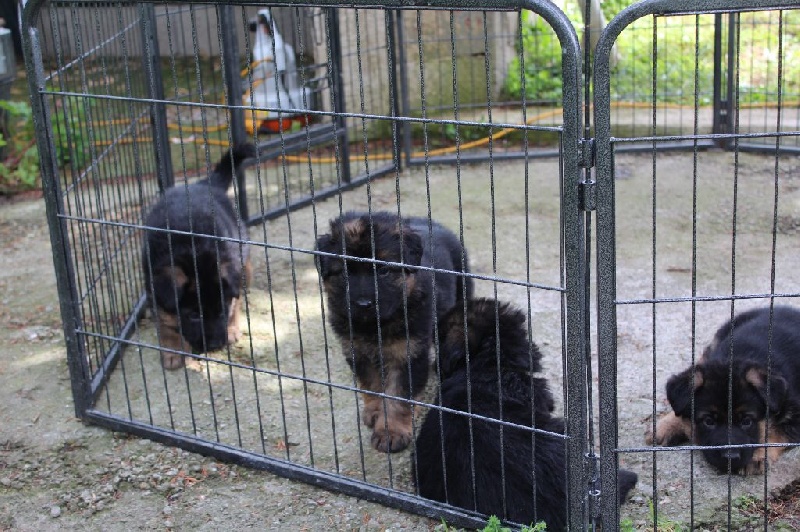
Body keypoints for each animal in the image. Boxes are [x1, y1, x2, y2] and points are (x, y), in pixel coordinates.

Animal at [141, 145, 256, 370]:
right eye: (194, 315)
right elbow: (166, 321)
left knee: (239, 296)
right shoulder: (153, 285)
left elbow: (233, 304)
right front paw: (173, 350)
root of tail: (203, 183)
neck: (194, 249)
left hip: (243, 263)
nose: (215, 345)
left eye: (220, 310)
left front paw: (229, 328)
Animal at [316, 212, 472, 454]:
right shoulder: (358, 352)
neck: (374, 326)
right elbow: (371, 386)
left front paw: (391, 433)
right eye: (345, 272)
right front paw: (375, 411)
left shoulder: (407, 355)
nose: (363, 304)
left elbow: (398, 397)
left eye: (383, 270)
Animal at [648, 306, 800, 476]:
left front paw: (758, 454)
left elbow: (776, 431)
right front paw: (668, 425)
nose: (730, 458)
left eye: (746, 421)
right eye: (709, 421)